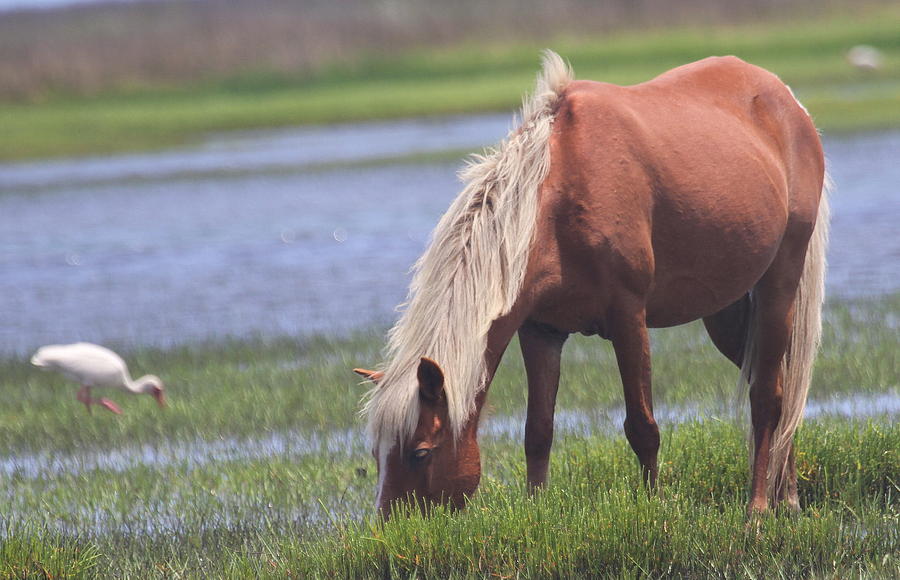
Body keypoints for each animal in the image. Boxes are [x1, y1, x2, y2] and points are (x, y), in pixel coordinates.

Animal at [354, 51, 828, 516]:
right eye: (376, 455)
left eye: (421, 451)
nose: (390, 529)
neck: (558, 194)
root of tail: (787, 100)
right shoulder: (540, 330)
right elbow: (538, 432)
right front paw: (537, 513)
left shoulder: (628, 316)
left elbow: (642, 426)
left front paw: (653, 508)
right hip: (726, 312)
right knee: (776, 385)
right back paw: (787, 498)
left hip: (779, 282)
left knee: (766, 397)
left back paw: (758, 510)